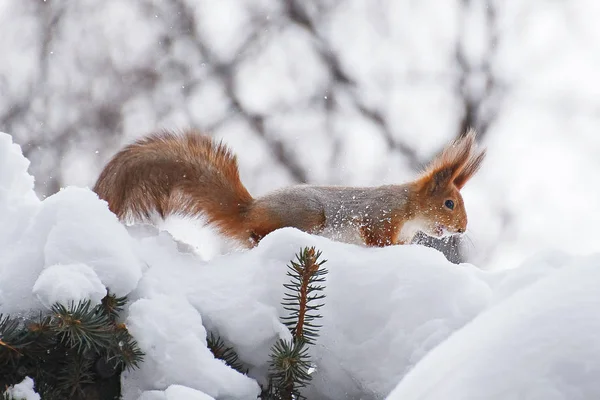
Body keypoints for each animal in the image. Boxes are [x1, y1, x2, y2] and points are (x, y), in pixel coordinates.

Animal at [95, 129, 488, 247]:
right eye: (450, 203)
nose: (463, 229)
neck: (409, 210)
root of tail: (248, 210)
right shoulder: (378, 218)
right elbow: (376, 240)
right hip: (307, 215)